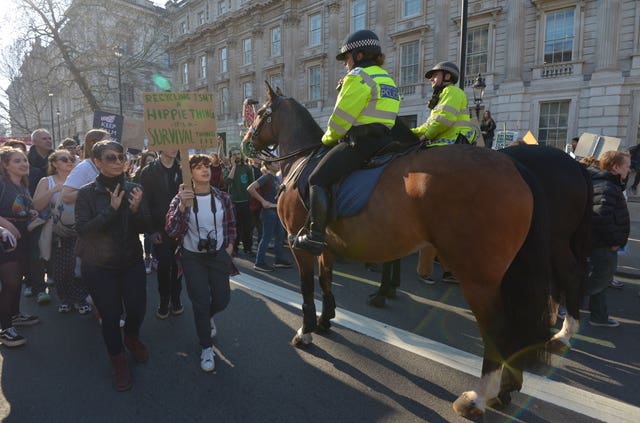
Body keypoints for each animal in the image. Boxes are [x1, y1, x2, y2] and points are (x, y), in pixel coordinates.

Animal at [242, 83, 552, 420]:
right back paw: (504, 390)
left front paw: (306, 331)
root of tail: (514, 166)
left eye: (261, 113)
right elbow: (325, 282)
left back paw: (476, 399)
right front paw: (326, 321)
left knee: (496, 329)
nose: (245, 143)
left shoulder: (297, 244)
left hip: (479, 278)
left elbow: (306, 288)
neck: (303, 160)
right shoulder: (324, 244)